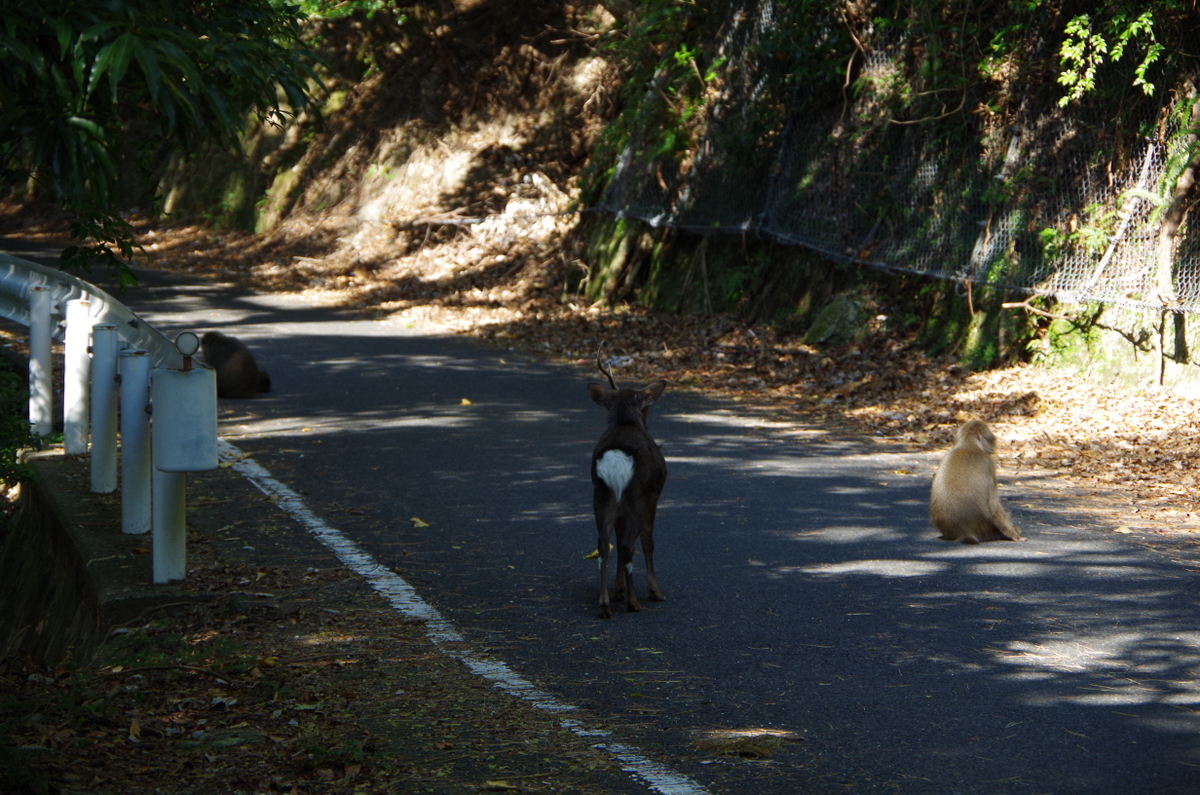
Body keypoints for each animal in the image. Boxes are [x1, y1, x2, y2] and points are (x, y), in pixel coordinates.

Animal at [588, 360, 672, 624]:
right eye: (647, 407)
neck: (625, 422)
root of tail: (616, 460)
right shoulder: (654, 496)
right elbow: (648, 541)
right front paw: (654, 590)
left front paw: (618, 590)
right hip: (637, 498)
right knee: (627, 545)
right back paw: (634, 602)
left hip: (602, 497)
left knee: (603, 545)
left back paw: (605, 604)